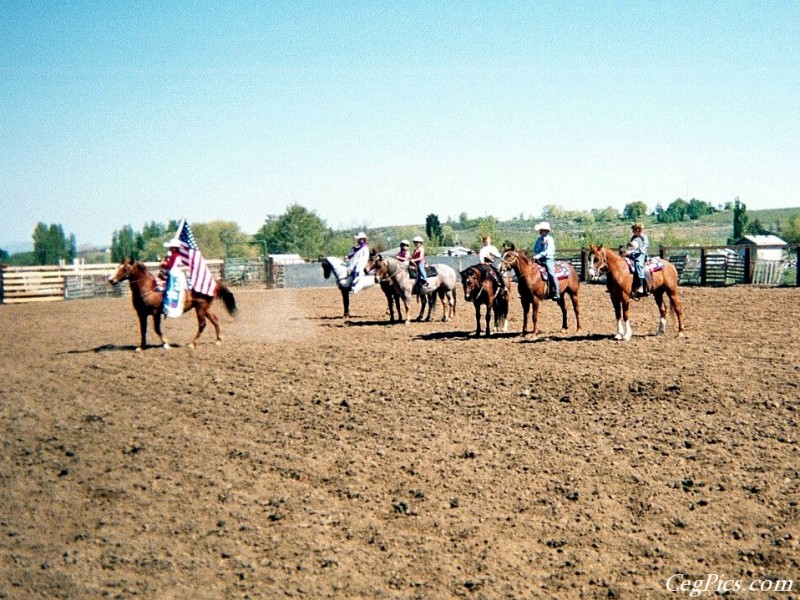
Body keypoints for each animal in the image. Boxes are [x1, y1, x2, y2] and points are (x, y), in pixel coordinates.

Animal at [108, 258, 238, 352]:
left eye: (125, 268)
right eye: (117, 267)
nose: (110, 279)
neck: (148, 287)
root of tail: (213, 282)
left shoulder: (155, 313)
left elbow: (157, 329)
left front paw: (166, 344)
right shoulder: (141, 314)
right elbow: (143, 330)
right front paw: (141, 347)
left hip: (201, 308)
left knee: (202, 324)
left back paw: (192, 344)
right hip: (205, 308)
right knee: (215, 320)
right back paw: (218, 340)